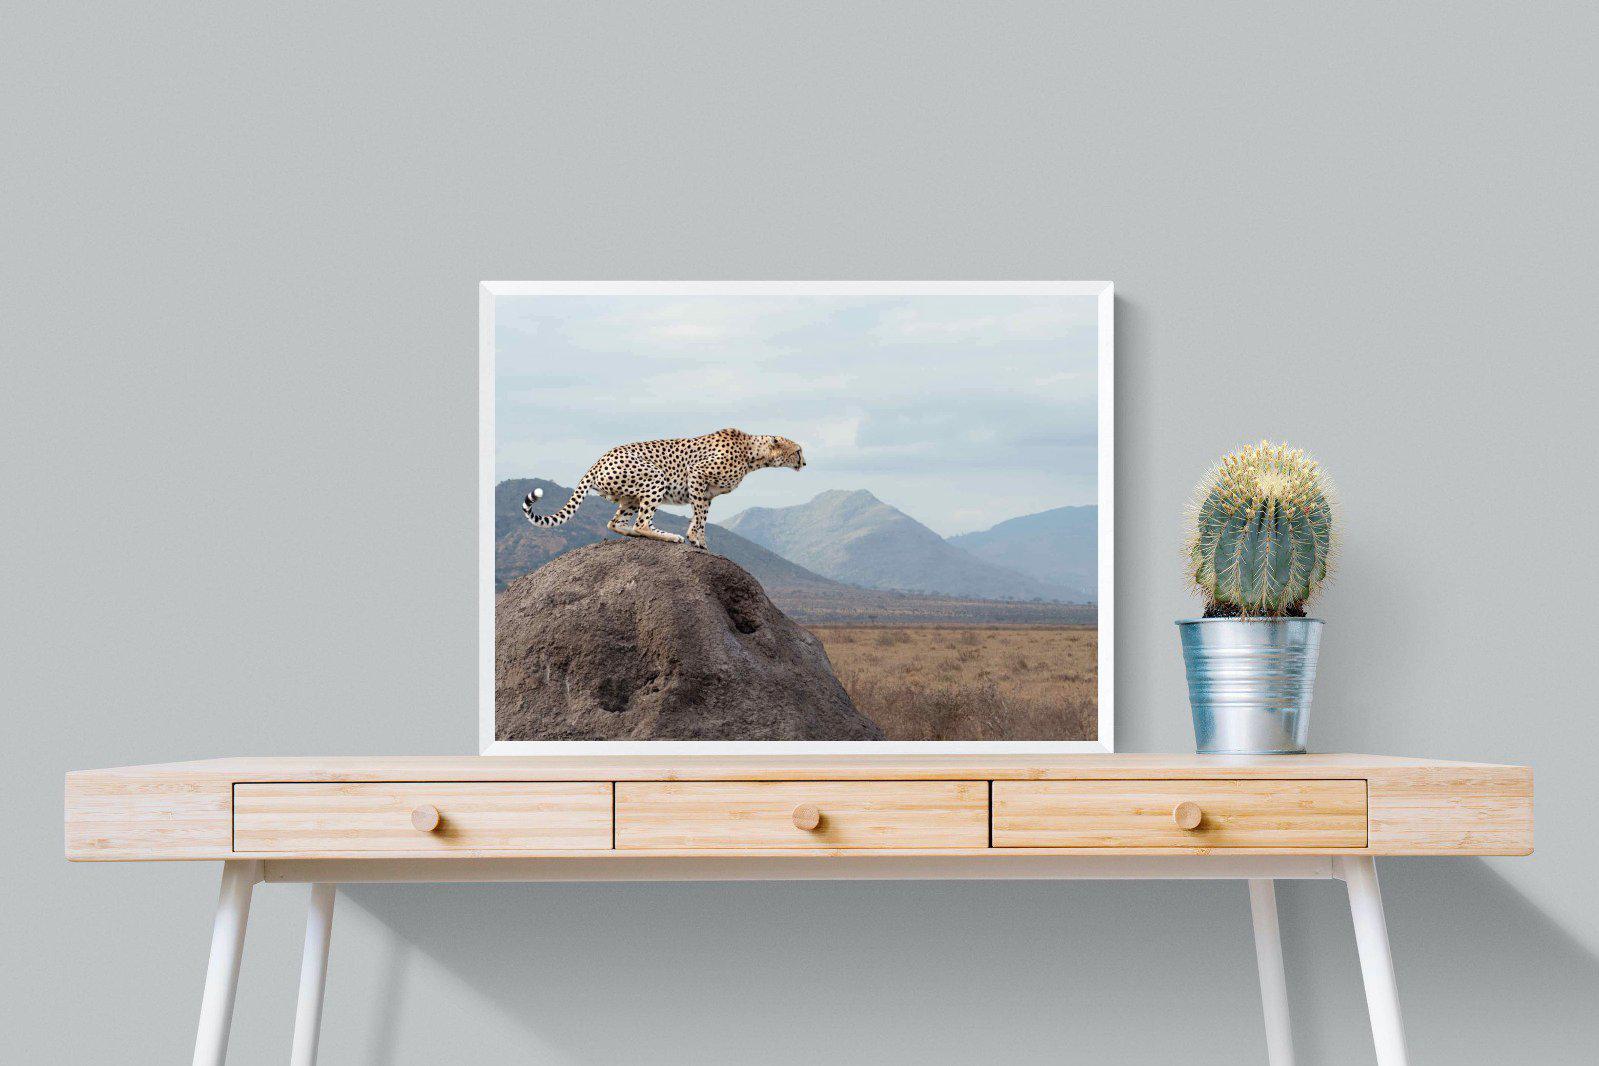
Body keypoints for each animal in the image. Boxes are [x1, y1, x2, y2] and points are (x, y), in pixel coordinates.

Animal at [522, 428, 806, 550]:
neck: (752, 454)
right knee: (642, 523)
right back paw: (669, 536)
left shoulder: (707, 493)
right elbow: (699, 517)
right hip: (655, 477)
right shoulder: (697, 475)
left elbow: (702, 517)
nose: (804, 462)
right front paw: (694, 538)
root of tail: (598, 460)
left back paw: (636, 534)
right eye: (798, 450)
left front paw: (701, 541)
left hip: (630, 497)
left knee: (616, 523)